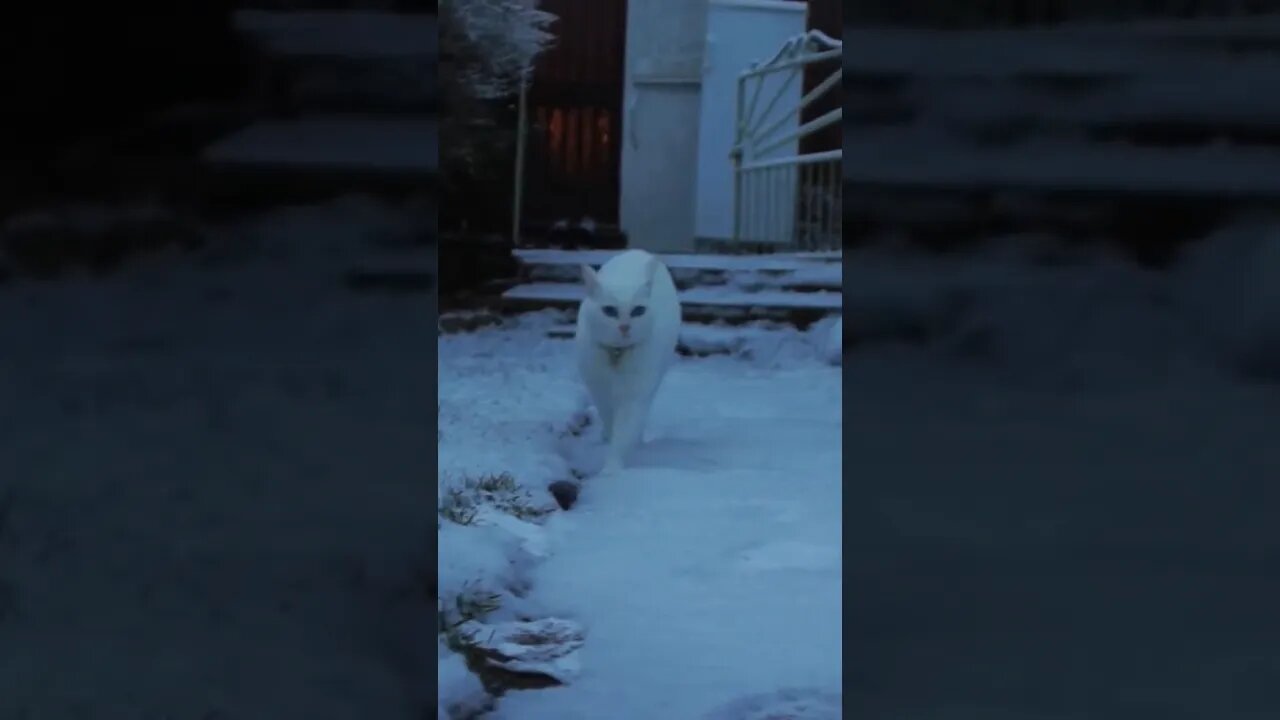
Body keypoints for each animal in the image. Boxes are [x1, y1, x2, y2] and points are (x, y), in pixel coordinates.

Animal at [576, 249, 686, 474]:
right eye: (609, 311)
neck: (617, 355)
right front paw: (609, 441)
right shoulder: (599, 389)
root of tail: (637, 251)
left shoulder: (635, 395)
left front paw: (612, 470)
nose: (625, 327)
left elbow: (624, 432)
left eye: (638, 311)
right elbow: (609, 419)